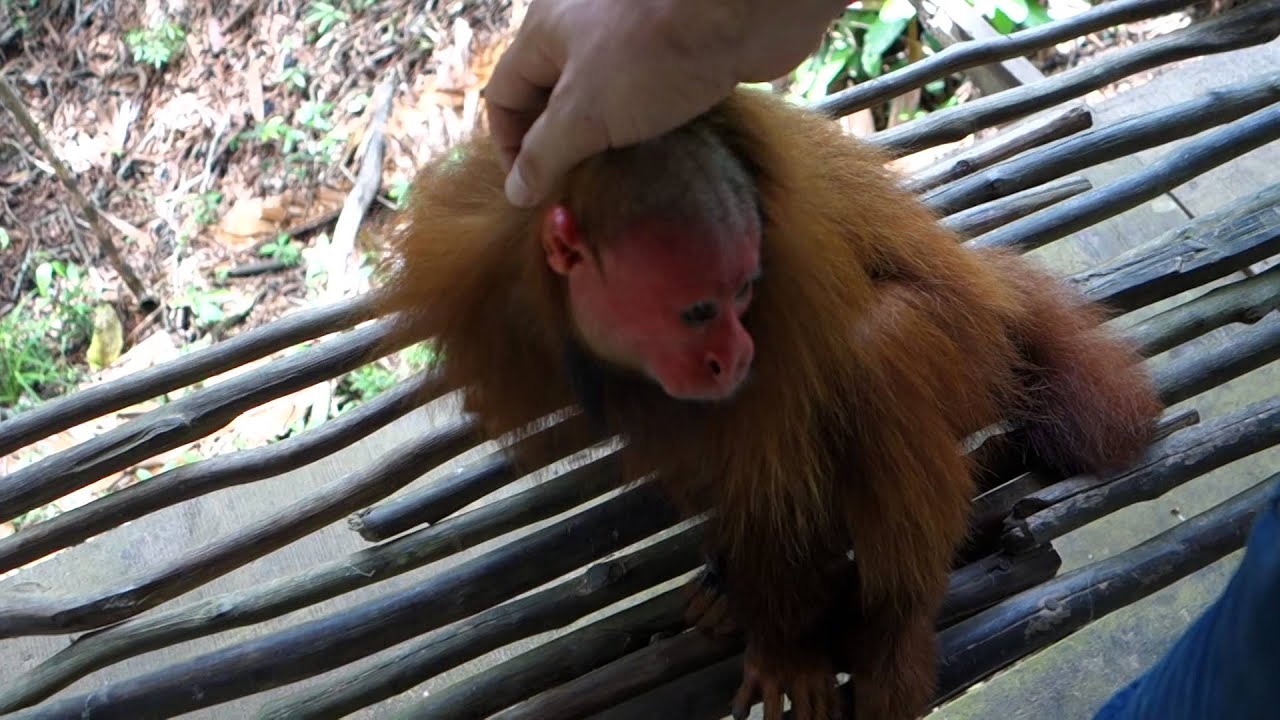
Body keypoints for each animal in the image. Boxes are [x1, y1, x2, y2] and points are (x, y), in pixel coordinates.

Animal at [371, 88, 1162, 719]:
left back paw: (895, 627)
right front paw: (738, 583)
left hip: (975, 354)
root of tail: (995, 294)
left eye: (742, 293)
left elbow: (777, 473)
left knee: (879, 349)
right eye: (697, 311)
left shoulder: (784, 300)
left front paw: (786, 644)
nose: (733, 355)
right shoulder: (483, 280)